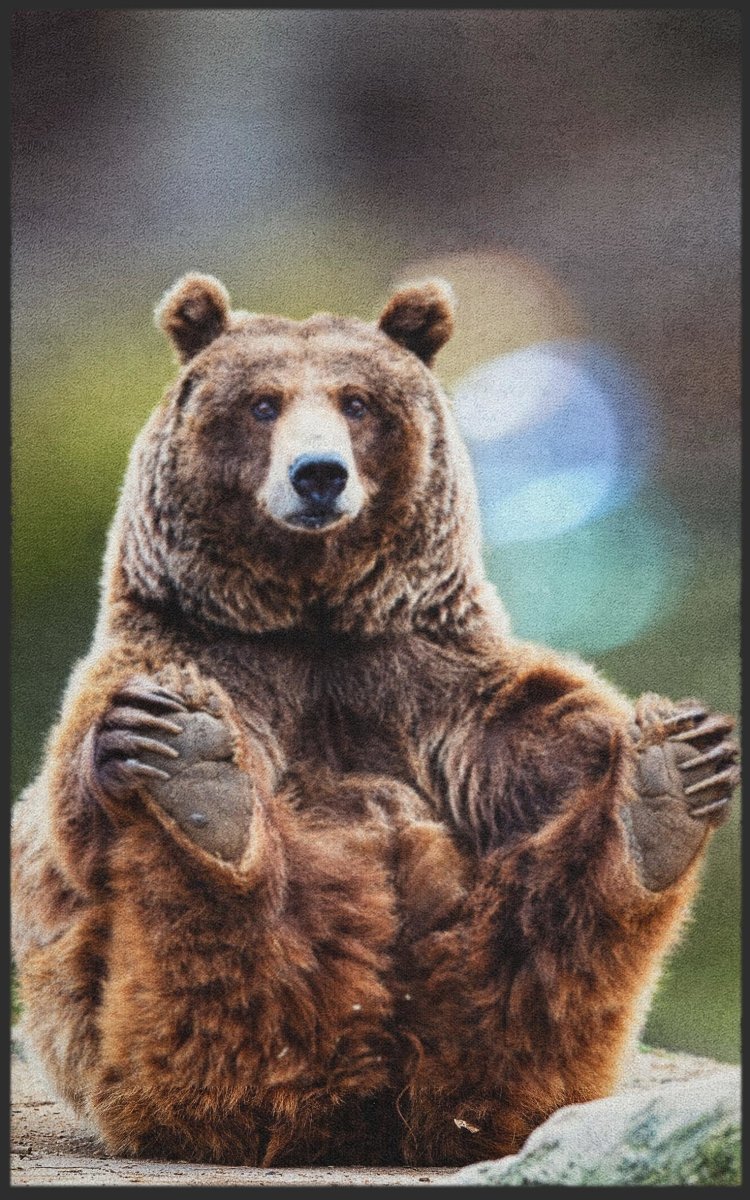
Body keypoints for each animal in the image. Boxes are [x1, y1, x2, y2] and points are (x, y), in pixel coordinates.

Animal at [11, 272, 739, 1168]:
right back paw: (201, 786)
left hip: (491, 993)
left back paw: (663, 798)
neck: (315, 619)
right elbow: (78, 811)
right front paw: (161, 740)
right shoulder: (211, 660)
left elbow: (544, 737)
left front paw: (680, 745)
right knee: (222, 964)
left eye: (356, 401)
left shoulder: (427, 680)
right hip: (140, 1027)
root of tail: (368, 1104)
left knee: (546, 948)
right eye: (263, 403)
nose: (318, 473)